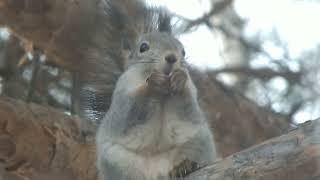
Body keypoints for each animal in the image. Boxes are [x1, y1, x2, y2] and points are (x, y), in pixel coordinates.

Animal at [72, 0, 218, 179]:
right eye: (143, 47)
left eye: (183, 51)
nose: (172, 57)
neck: (163, 93)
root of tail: (157, 173)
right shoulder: (122, 93)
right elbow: (129, 112)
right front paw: (152, 84)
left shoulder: (192, 92)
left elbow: (188, 108)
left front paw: (179, 79)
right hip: (115, 159)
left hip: (198, 143)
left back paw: (184, 167)